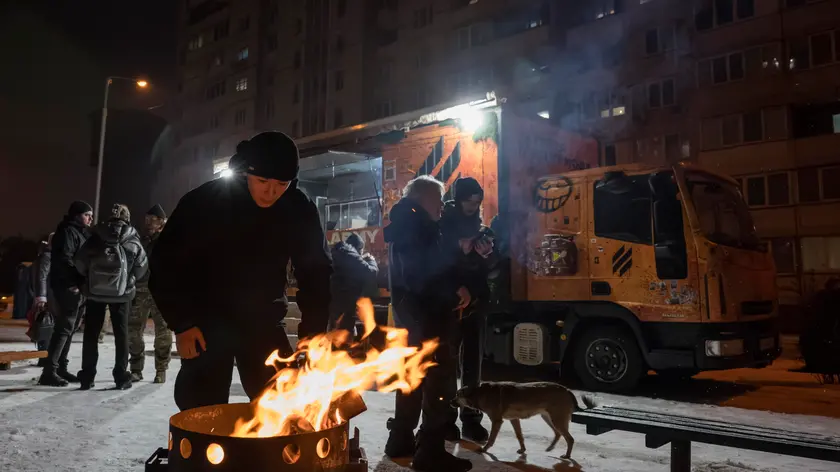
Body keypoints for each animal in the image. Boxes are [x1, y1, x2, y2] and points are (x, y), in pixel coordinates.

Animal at [452, 381, 596, 458]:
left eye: (457, 395)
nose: (449, 402)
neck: (478, 392)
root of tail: (567, 390)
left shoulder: (497, 421)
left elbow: (492, 439)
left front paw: (485, 449)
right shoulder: (514, 419)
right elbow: (519, 436)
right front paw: (523, 449)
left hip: (557, 419)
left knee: (569, 438)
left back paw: (567, 455)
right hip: (549, 418)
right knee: (558, 434)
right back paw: (550, 448)